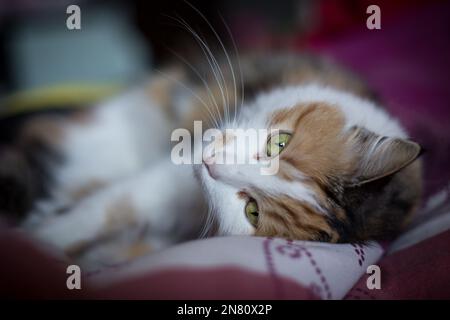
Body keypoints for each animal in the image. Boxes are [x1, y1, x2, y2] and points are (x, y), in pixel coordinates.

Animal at [0, 53, 422, 266]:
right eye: (279, 143)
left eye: (252, 210)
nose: (211, 162)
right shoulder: (177, 163)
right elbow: (111, 207)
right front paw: (41, 240)